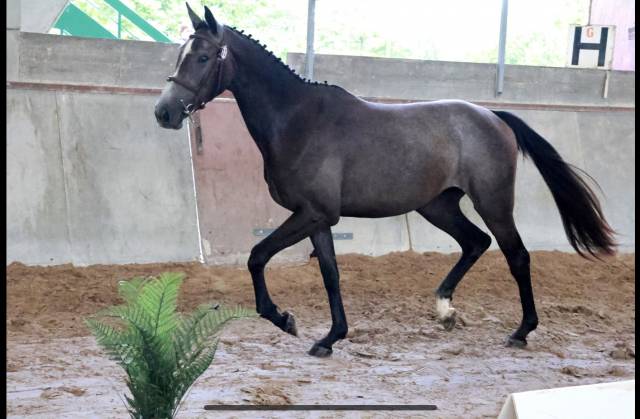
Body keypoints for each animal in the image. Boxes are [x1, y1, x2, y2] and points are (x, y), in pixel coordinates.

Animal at [155, 5, 616, 357]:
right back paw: (445, 310)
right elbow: (330, 275)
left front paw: (285, 320)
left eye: (202, 57)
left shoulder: (312, 214)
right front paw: (329, 338)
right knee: (475, 242)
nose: (164, 112)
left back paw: (521, 332)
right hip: (437, 205)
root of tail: (492, 116)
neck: (297, 120)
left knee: (516, 255)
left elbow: (256, 256)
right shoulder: (318, 219)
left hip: (493, 202)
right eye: (179, 55)